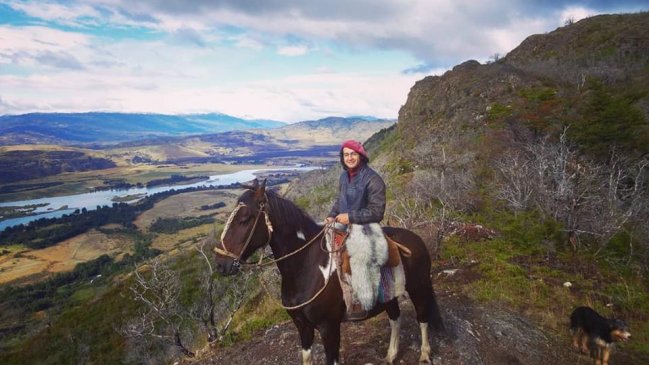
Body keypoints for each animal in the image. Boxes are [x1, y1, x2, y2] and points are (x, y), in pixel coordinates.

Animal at [215, 180, 442, 364]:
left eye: (245, 218)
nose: (220, 264)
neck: (307, 266)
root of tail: (415, 238)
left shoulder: (329, 327)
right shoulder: (302, 326)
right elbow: (306, 357)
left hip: (419, 287)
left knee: (422, 318)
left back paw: (424, 355)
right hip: (389, 296)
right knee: (395, 318)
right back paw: (391, 355)